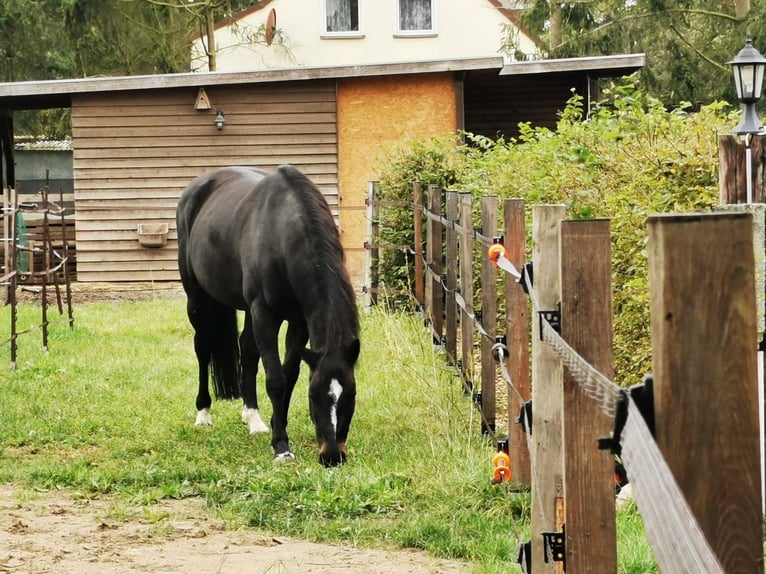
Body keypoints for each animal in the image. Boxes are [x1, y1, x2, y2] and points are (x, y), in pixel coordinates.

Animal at [177, 163, 364, 468]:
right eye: (314, 396)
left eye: (351, 395)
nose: (332, 457)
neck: (282, 234)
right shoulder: (264, 313)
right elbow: (275, 379)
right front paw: (281, 447)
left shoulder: (299, 321)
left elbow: (289, 375)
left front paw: (278, 426)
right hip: (197, 297)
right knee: (203, 347)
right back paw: (203, 414)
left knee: (247, 350)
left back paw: (253, 418)